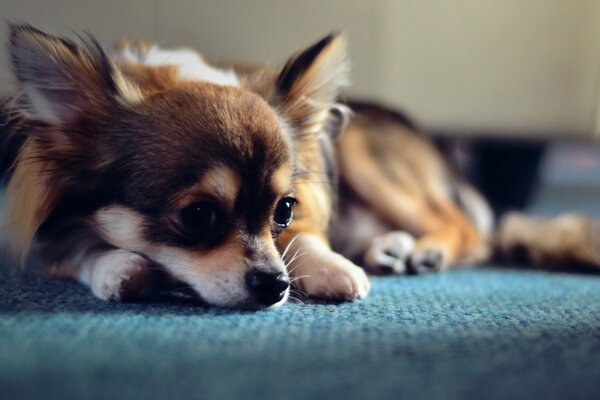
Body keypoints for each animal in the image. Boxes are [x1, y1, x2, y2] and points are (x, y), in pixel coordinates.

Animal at [1, 25, 596, 310]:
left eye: (284, 210)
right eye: (197, 216)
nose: (275, 286)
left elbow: (309, 240)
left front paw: (330, 268)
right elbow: (77, 246)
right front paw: (117, 265)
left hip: (362, 152)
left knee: (468, 229)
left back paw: (425, 250)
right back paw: (390, 247)